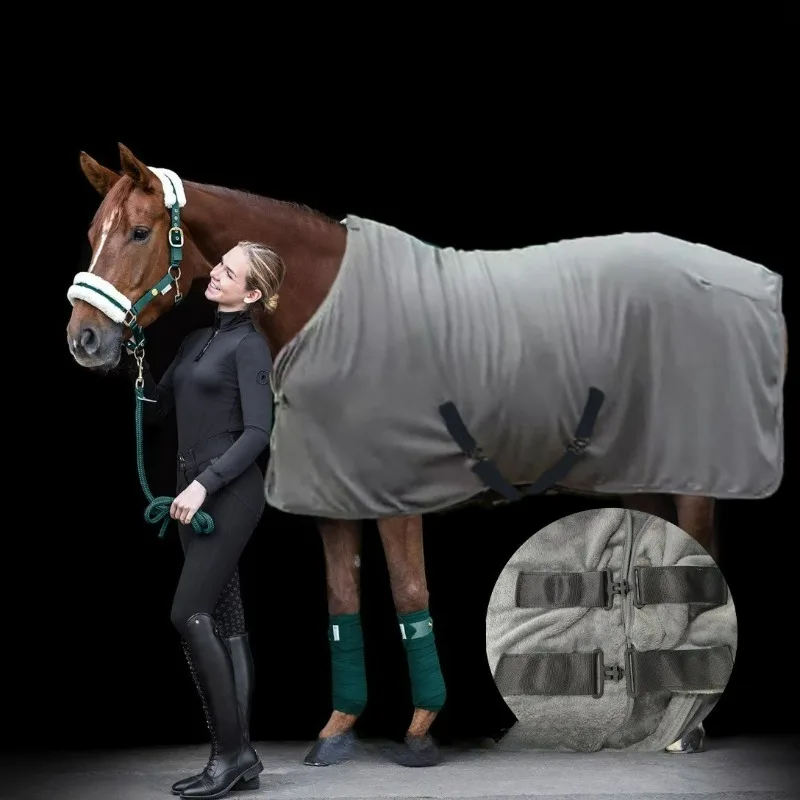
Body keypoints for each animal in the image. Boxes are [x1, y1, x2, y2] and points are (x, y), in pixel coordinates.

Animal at [65, 143, 787, 766]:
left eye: (138, 232)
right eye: (93, 232)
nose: (85, 340)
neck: (332, 314)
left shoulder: (395, 497)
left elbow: (410, 595)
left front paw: (420, 729)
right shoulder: (333, 501)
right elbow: (341, 603)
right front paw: (338, 730)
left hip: (695, 476)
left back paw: (688, 728)